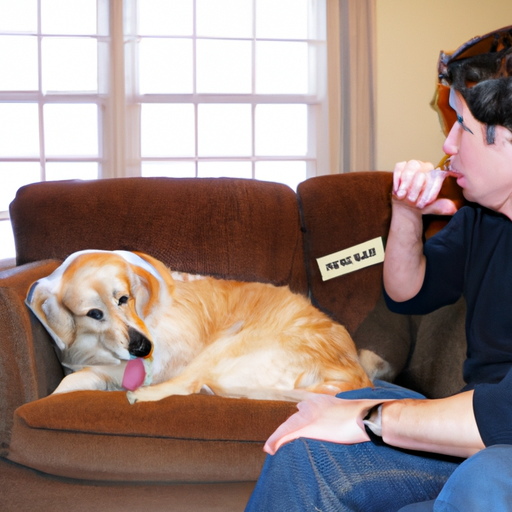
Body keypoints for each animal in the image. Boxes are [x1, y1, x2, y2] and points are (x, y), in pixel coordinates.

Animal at [26, 250, 372, 402]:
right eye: (94, 313)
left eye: (123, 298)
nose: (142, 347)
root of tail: (356, 376)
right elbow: (70, 381)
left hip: (227, 344)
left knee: (188, 384)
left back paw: (141, 396)